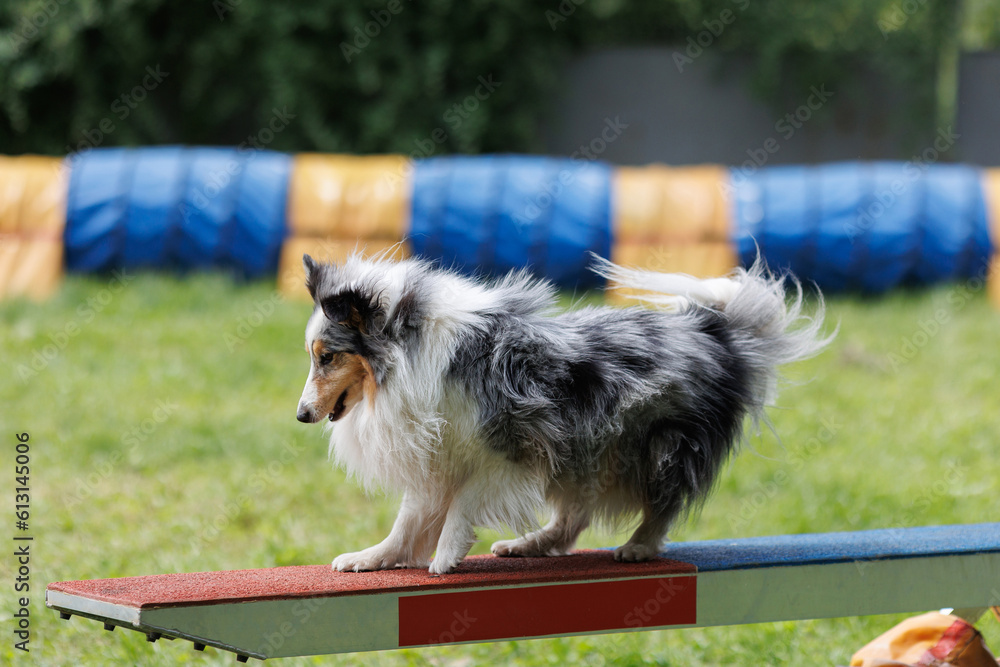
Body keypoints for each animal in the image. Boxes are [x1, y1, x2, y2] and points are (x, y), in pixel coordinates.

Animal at [296, 252, 829, 574]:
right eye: (313, 355)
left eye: (328, 357)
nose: (301, 415)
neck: (410, 352)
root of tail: (712, 328)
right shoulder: (438, 455)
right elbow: (408, 520)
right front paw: (374, 557)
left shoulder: (508, 447)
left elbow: (462, 504)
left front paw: (445, 556)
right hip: (585, 451)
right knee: (573, 519)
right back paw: (527, 544)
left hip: (655, 446)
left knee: (660, 506)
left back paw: (637, 546)